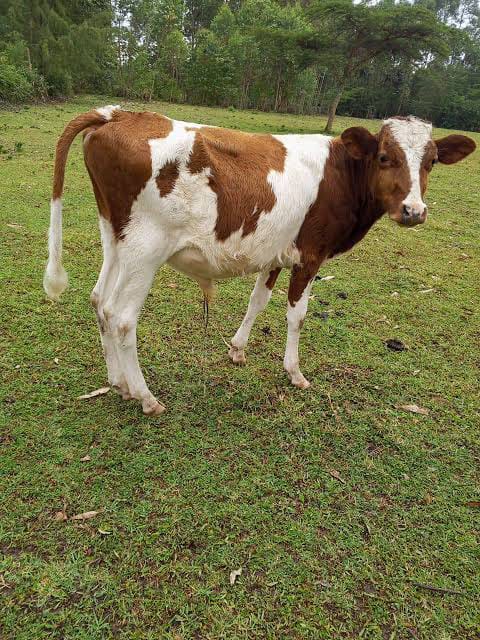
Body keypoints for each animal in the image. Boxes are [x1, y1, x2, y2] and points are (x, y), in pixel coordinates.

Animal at [43, 106, 475, 416]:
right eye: (385, 157)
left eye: (432, 161)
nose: (413, 211)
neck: (341, 172)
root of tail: (118, 113)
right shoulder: (311, 255)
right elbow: (296, 315)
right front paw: (295, 372)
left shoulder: (276, 252)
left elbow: (258, 301)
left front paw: (237, 349)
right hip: (145, 250)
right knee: (121, 317)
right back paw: (145, 396)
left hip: (116, 239)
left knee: (99, 301)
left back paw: (118, 383)